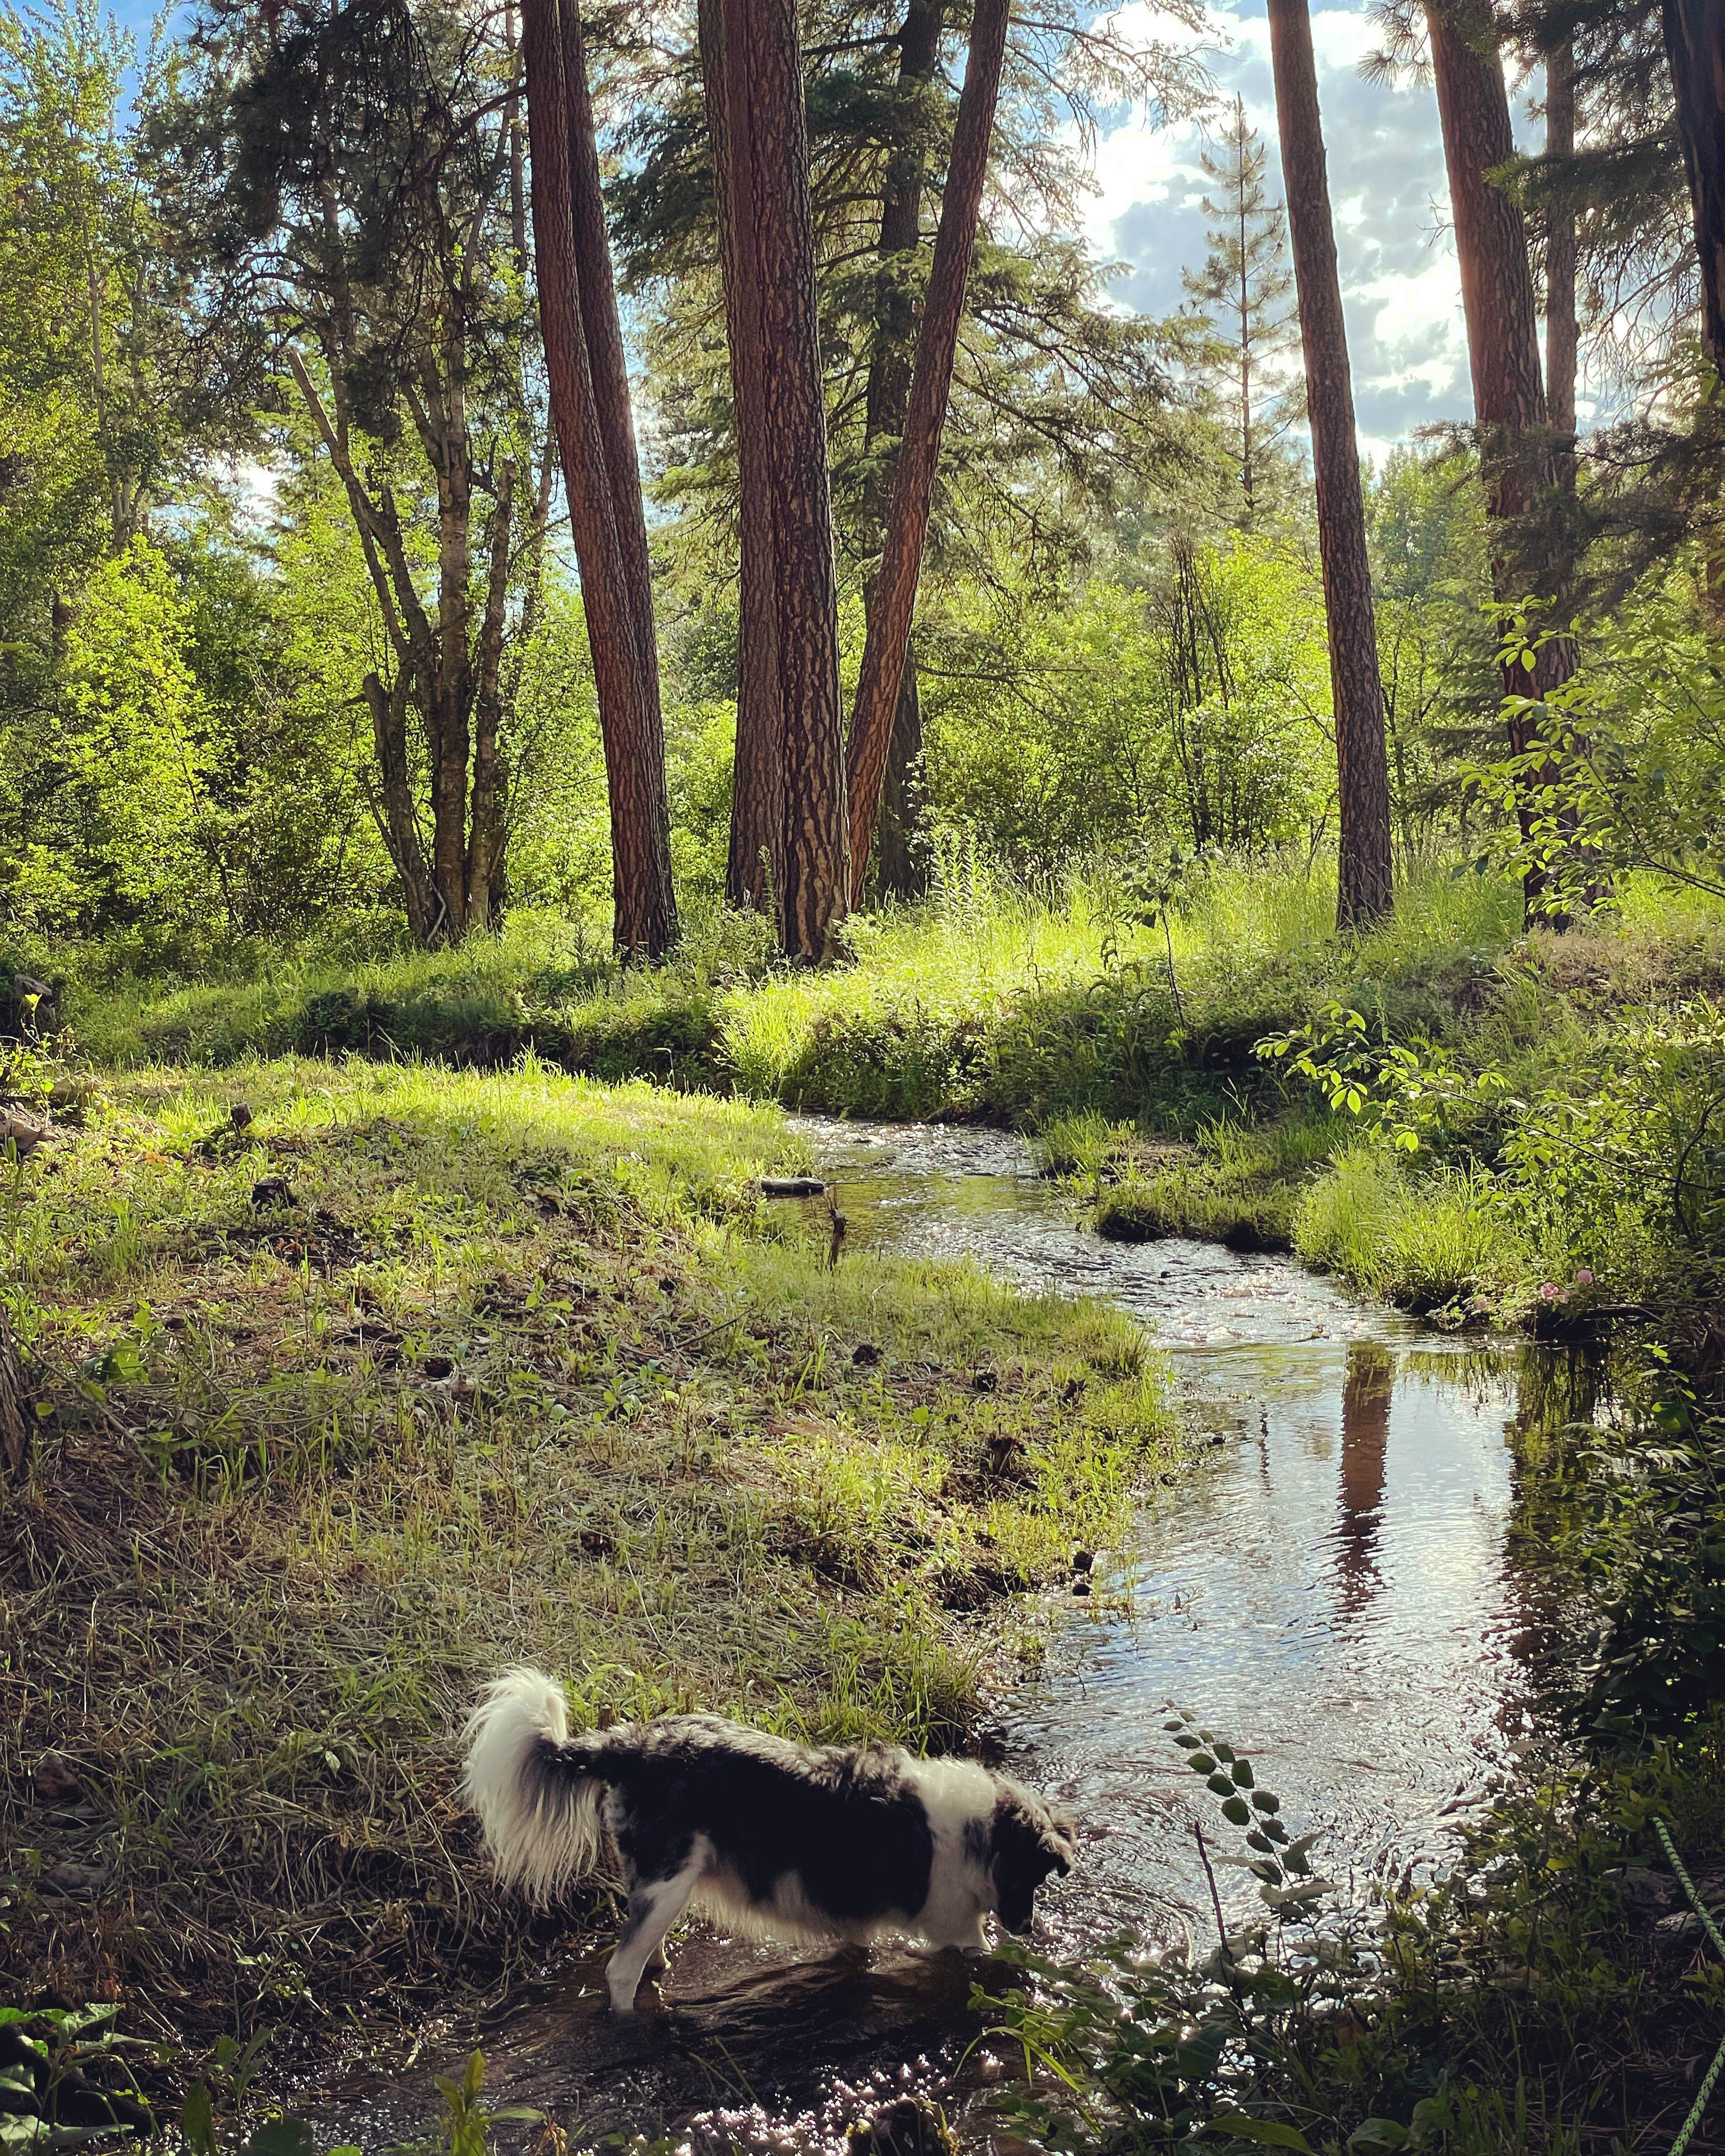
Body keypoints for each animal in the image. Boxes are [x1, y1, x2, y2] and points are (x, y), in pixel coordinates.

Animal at [465, 1673, 1069, 2009]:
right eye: (1032, 1878)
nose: (1027, 1928)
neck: (978, 1832)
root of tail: (633, 1743)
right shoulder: (959, 1931)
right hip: (670, 1882)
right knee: (618, 1972)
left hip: (658, 1890)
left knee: (640, 1954)